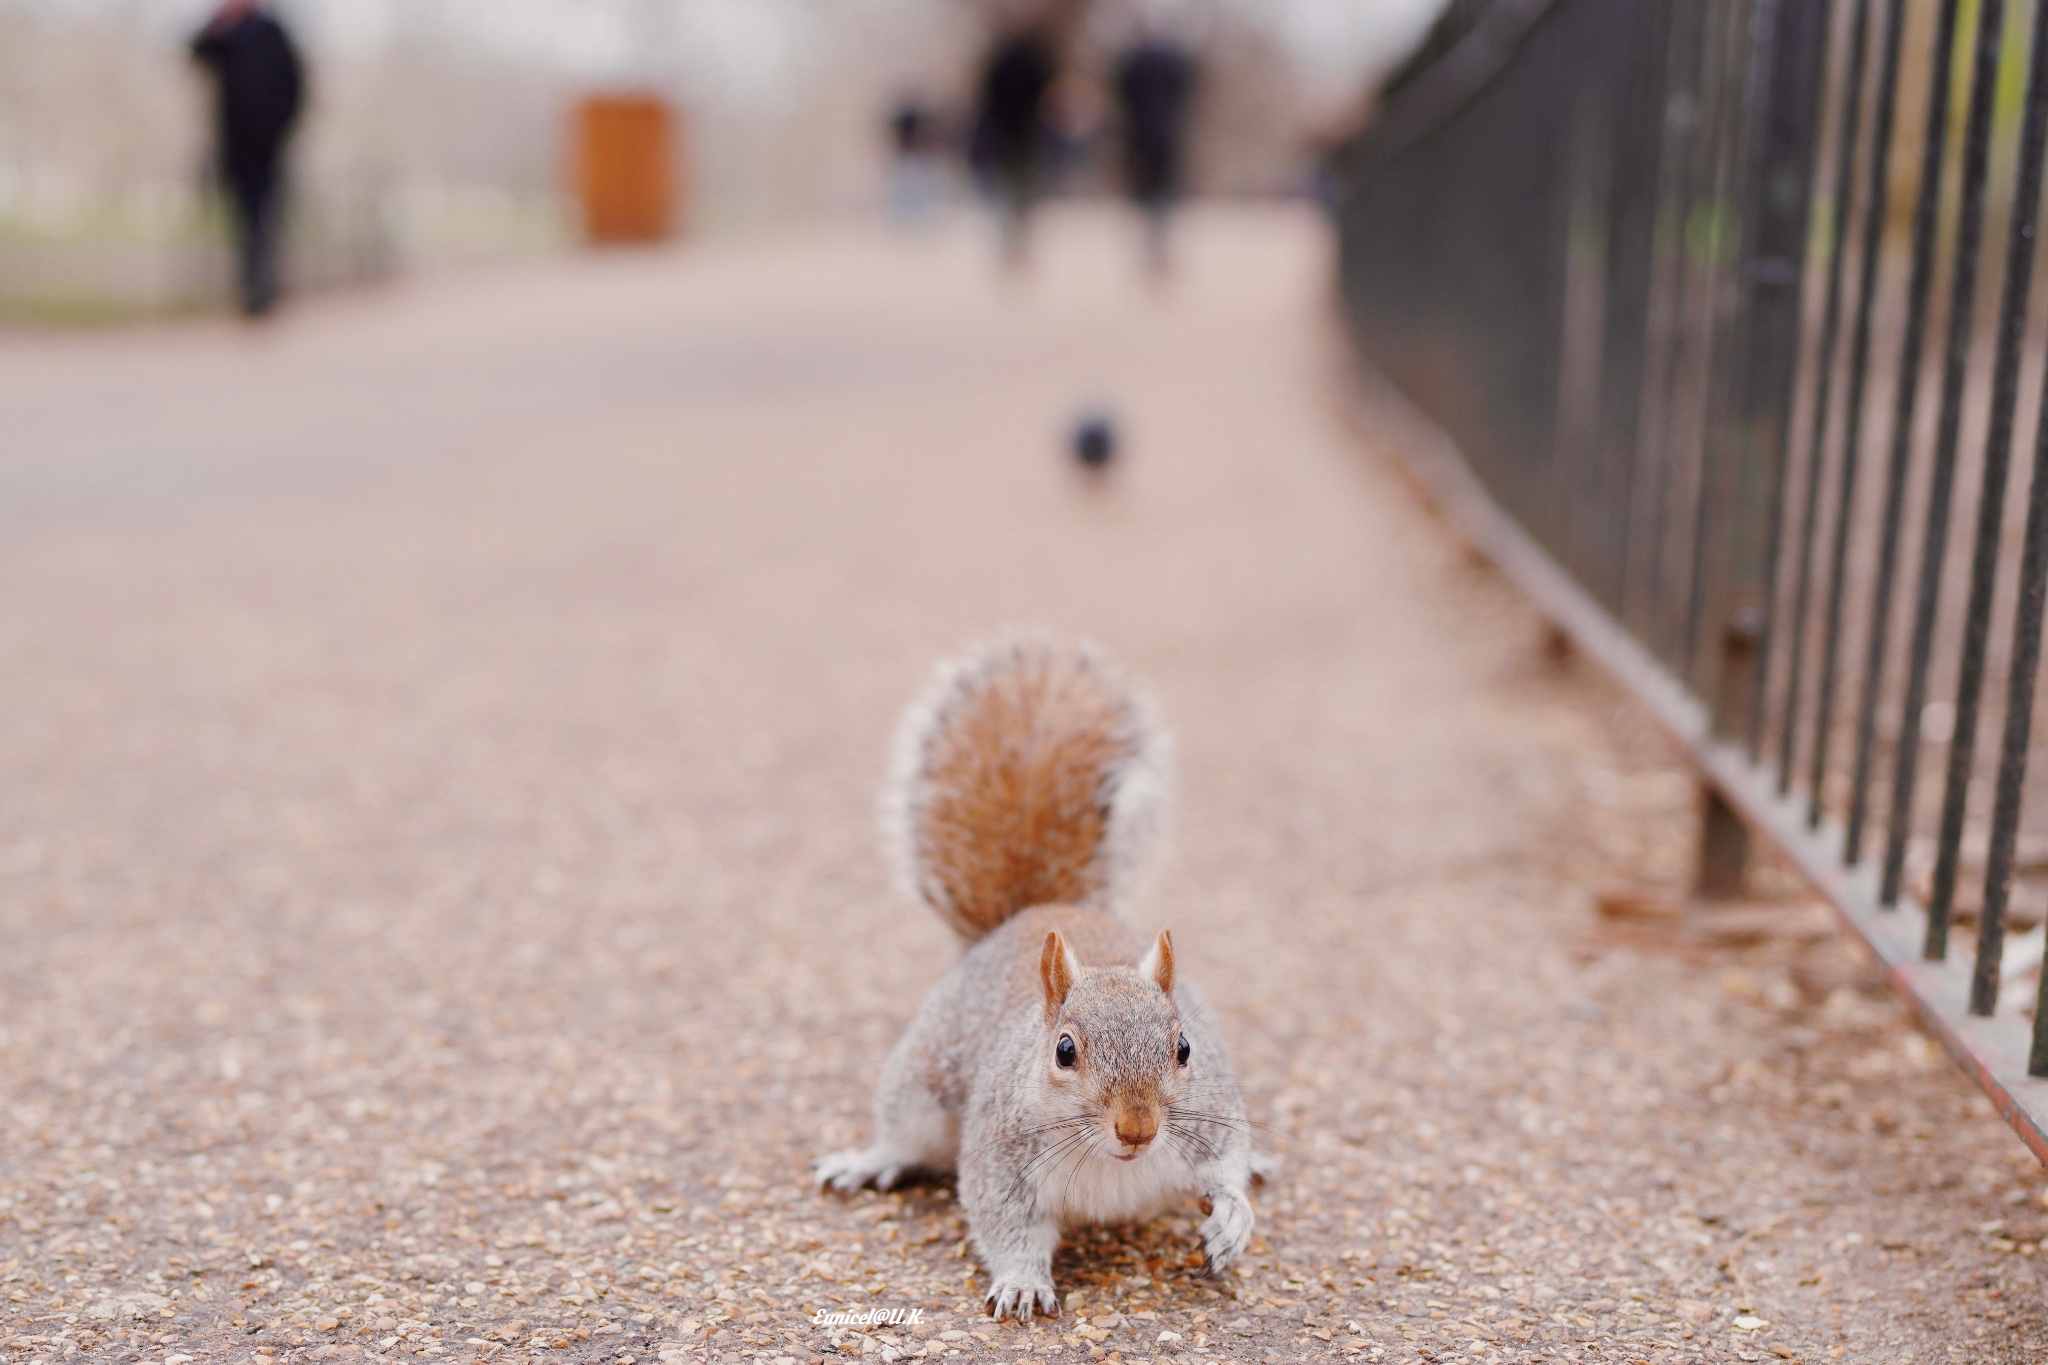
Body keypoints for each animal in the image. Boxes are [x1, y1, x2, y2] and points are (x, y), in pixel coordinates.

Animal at [811, 638, 1253, 1326]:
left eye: (1185, 1048)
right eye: (1064, 1051)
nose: (1138, 1129)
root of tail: (1038, 910)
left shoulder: (1210, 1120)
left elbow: (1227, 1166)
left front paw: (1233, 1218)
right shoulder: (1001, 1161)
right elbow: (1005, 1226)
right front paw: (1022, 1281)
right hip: (920, 1083)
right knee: (904, 1135)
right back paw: (870, 1160)